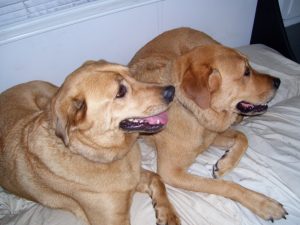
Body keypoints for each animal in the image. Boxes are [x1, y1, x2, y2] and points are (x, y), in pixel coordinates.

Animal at [0, 60, 180, 225]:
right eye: (120, 91)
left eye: (132, 75)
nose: (172, 90)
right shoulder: (113, 219)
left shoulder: (138, 177)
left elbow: (157, 178)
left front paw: (168, 215)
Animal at [127, 26, 288, 221]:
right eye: (246, 72)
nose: (278, 81)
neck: (193, 112)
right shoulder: (171, 172)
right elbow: (225, 185)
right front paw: (263, 204)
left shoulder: (211, 136)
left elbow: (243, 137)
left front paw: (225, 163)